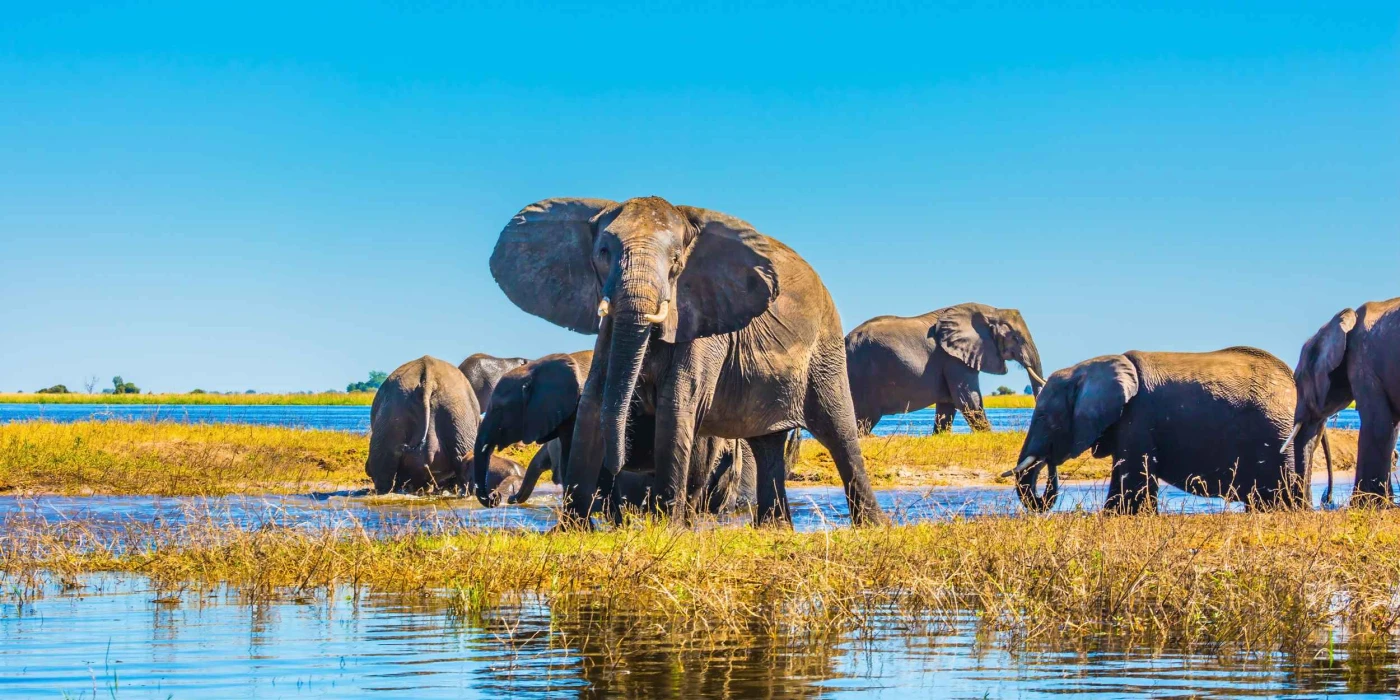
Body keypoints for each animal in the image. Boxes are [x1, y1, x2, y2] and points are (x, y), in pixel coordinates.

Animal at [490, 197, 884, 526]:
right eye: (603, 252)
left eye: (677, 262)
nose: (619, 466)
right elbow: (594, 400)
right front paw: (572, 532)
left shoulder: (705, 319)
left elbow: (676, 403)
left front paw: (668, 530)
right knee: (765, 444)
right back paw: (774, 529)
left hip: (825, 347)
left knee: (838, 432)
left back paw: (873, 526)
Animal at [840, 303, 1041, 434]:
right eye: (1016, 338)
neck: (991, 312)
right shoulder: (954, 359)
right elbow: (968, 399)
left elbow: (948, 405)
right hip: (862, 375)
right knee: (865, 419)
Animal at [1282, 298, 1400, 506]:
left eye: (1298, 379)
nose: (1325, 499)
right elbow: (1390, 427)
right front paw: (1384, 504)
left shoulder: (1362, 363)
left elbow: (1377, 425)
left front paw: (1364, 505)